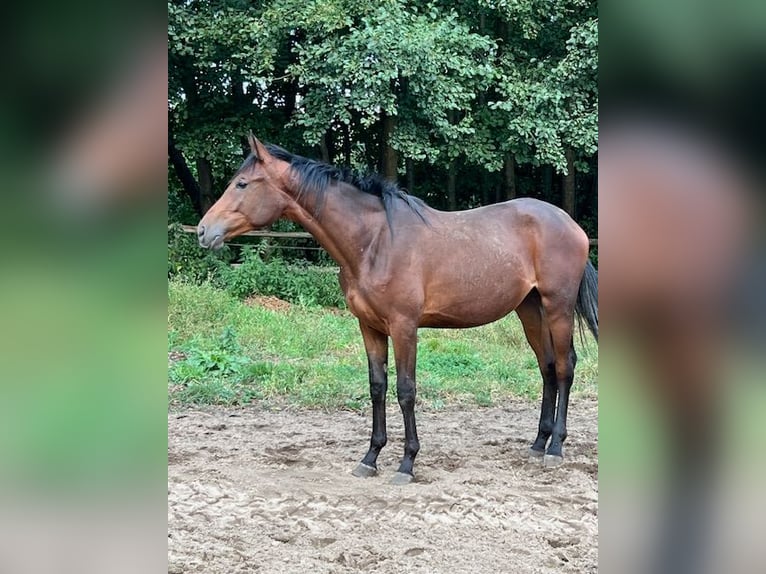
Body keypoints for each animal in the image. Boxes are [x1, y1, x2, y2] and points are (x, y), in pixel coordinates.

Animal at [198, 135, 600, 486]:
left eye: (242, 184)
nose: (203, 231)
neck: (375, 242)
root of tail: (571, 224)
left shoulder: (404, 326)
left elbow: (405, 390)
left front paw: (407, 464)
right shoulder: (370, 327)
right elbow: (377, 387)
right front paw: (370, 457)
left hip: (557, 306)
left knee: (564, 367)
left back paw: (556, 448)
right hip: (530, 309)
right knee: (547, 367)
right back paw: (538, 444)